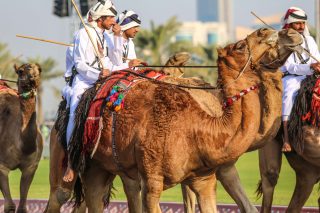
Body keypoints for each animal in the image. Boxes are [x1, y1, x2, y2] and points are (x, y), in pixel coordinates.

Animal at [0, 63, 42, 213]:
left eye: (39, 69)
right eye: (20, 71)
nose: (32, 76)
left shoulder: (31, 167)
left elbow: (23, 207)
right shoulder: (1, 167)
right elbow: (10, 206)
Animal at [67, 28, 302, 213]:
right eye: (240, 45)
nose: (273, 31)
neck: (200, 128)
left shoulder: (204, 177)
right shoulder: (152, 180)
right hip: (91, 165)